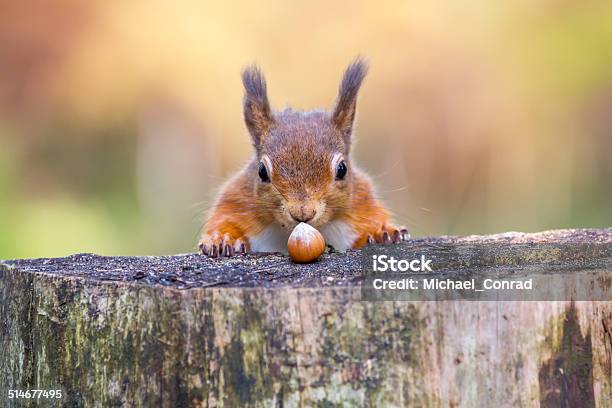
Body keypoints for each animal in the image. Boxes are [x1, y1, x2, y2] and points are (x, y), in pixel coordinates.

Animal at [200, 59, 406, 256]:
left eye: (342, 169)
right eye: (261, 171)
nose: (303, 213)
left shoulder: (362, 201)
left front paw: (382, 232)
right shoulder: (235, 200)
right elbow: (225, 220)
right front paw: (222, 238)